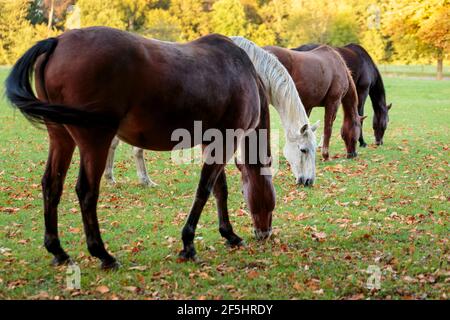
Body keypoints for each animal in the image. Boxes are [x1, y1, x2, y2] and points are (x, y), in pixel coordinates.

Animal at [5, 26, 276, 270]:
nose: (265, 233)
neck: (240, 70)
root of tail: (57, 42)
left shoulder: (212, 142)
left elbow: (219, 190)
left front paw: (228, 234)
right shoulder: (226, 140)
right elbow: (204, 190)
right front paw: (188, 244)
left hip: (61, 138)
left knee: (52, 185)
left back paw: (58, 251)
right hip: (95, 142)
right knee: (87, 192)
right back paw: (103, 255)